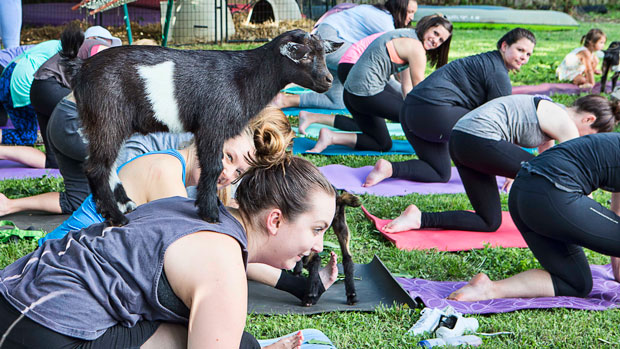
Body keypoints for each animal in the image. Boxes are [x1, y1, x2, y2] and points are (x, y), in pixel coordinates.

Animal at [61, 25, 344, 224]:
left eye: (323, 53)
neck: (245, 77)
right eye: (303, 56)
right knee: (96, 168)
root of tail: (80, 67)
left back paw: (121, 206)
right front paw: (210, 213)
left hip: (97, 123)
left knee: (105, 165)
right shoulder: (212, 125)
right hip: (107, 118)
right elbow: (213, 167)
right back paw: (117, 217)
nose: (327, 80)